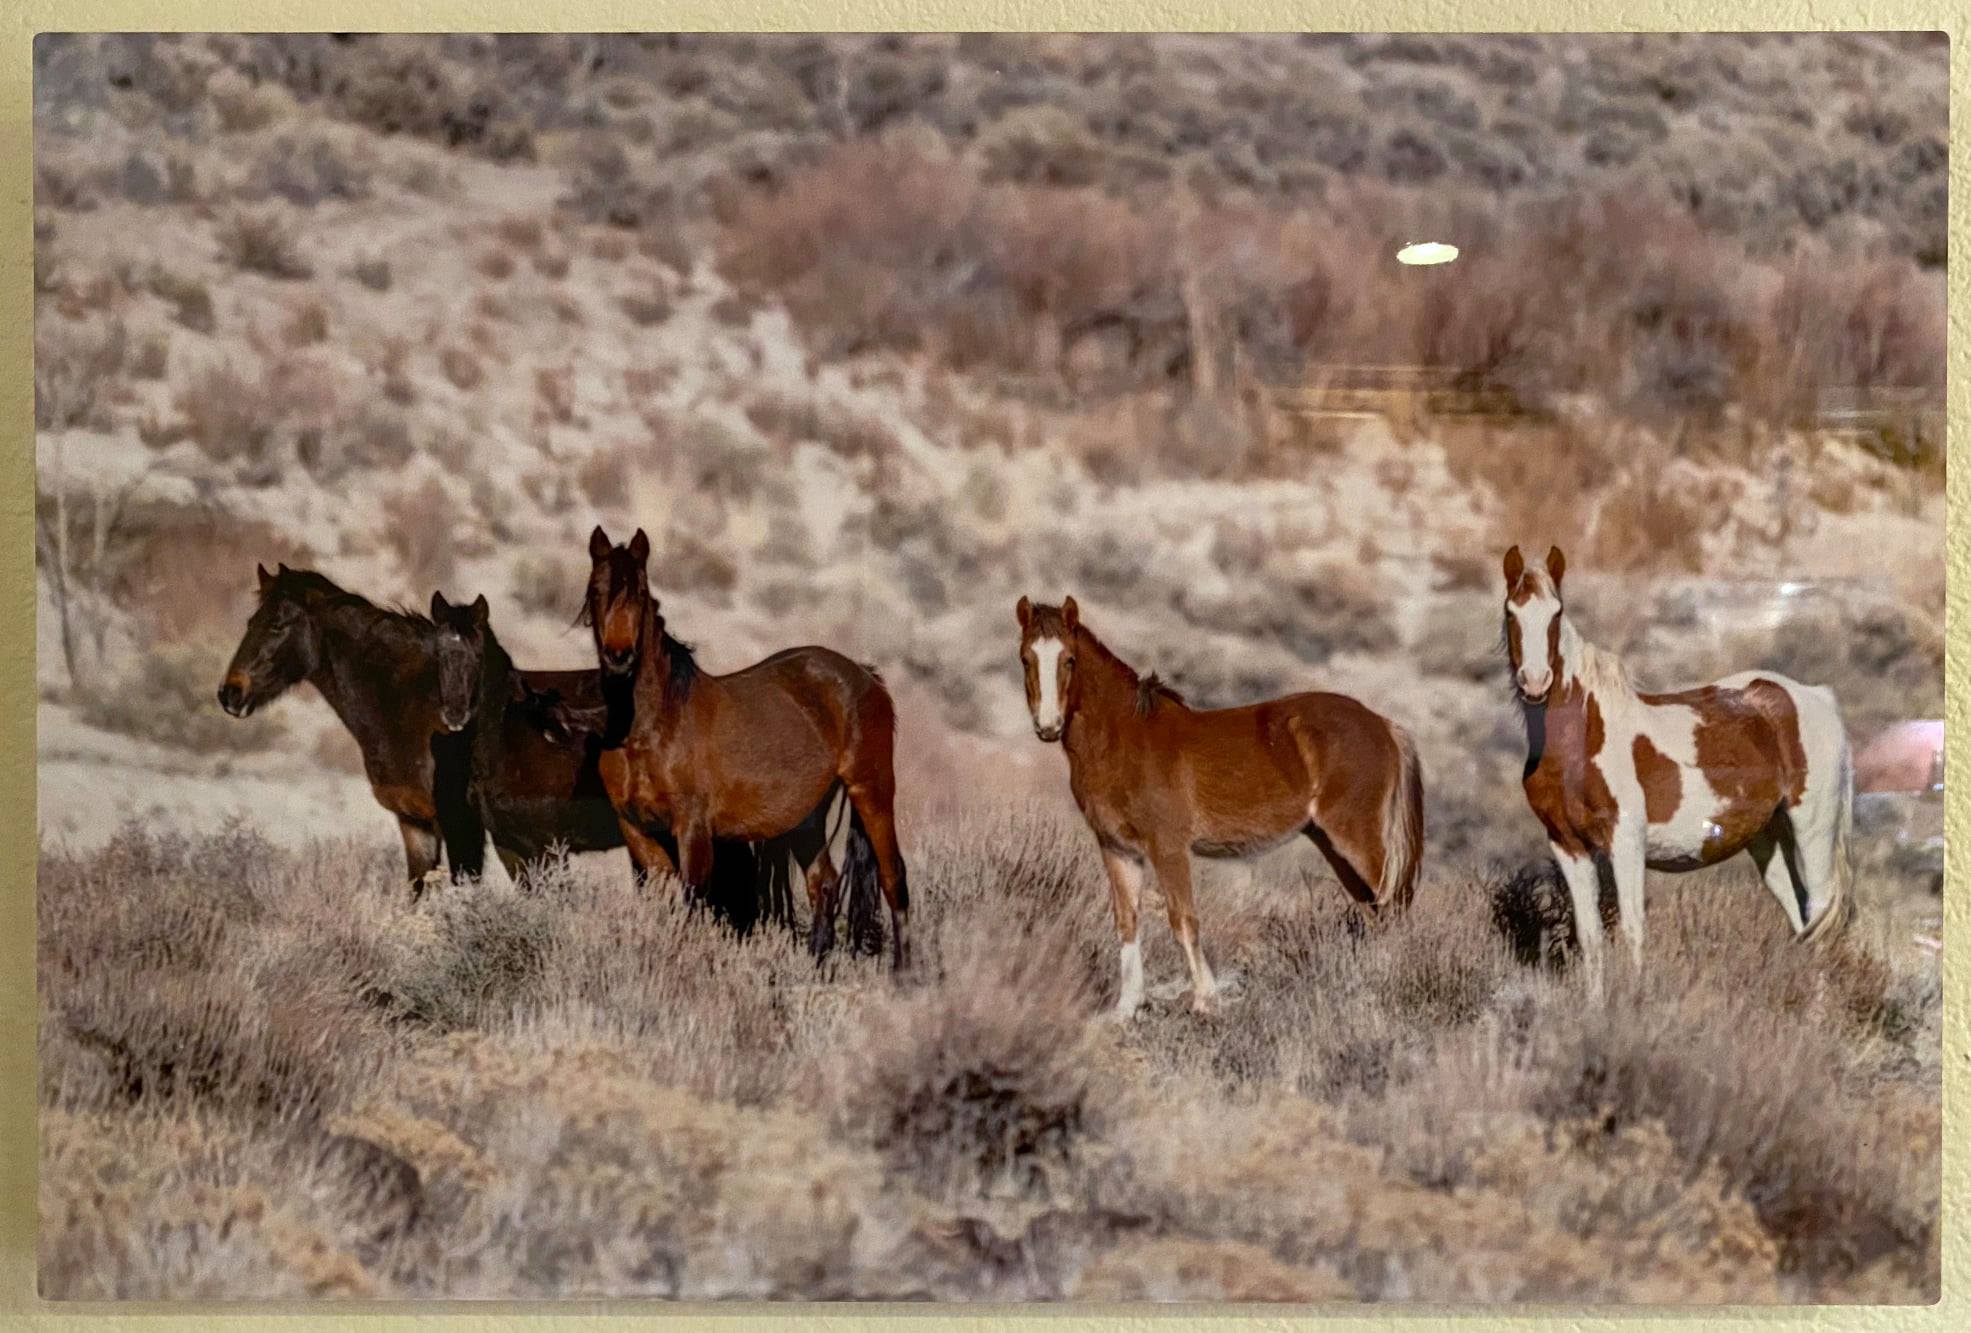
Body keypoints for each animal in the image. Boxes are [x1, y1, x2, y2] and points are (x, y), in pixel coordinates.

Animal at [579, 524, 910, 970]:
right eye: (596, 590)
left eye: (641, 592)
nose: (619, 656)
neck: (649, 727)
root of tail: (865, 675)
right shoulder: (637, 831)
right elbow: (666, 905)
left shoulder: (693, 830)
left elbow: (691, 906)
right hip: (807, 816)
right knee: (823, 883)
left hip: (871, 789)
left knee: (894, 878)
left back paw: (908, 974)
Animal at [1017, 595, 1419, 1017]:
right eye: (1026, 659)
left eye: (1069, 659)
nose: (1048, 727)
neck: (1122, 738)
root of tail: (1383, 724)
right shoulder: (1117, 849)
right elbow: (1127, 920)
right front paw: (1126, 1008)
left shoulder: (1168, 848)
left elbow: (1183, 918)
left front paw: (1206, 1000)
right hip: (1333, 846)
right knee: (1375, 911)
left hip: (1359, 840)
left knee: (1393, 906)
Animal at [1497, 544, 1852, 989]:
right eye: (1511, 611)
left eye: (1556, 612)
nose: (1535, 682)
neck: (1580, 740)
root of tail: (1817, 697)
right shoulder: (1568, 846)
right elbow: (1591, 938)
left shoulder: (1625, 840)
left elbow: (1632, 929)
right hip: (1769, 840)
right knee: (1802, 915)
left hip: (1812, 827)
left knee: (1821, 914)